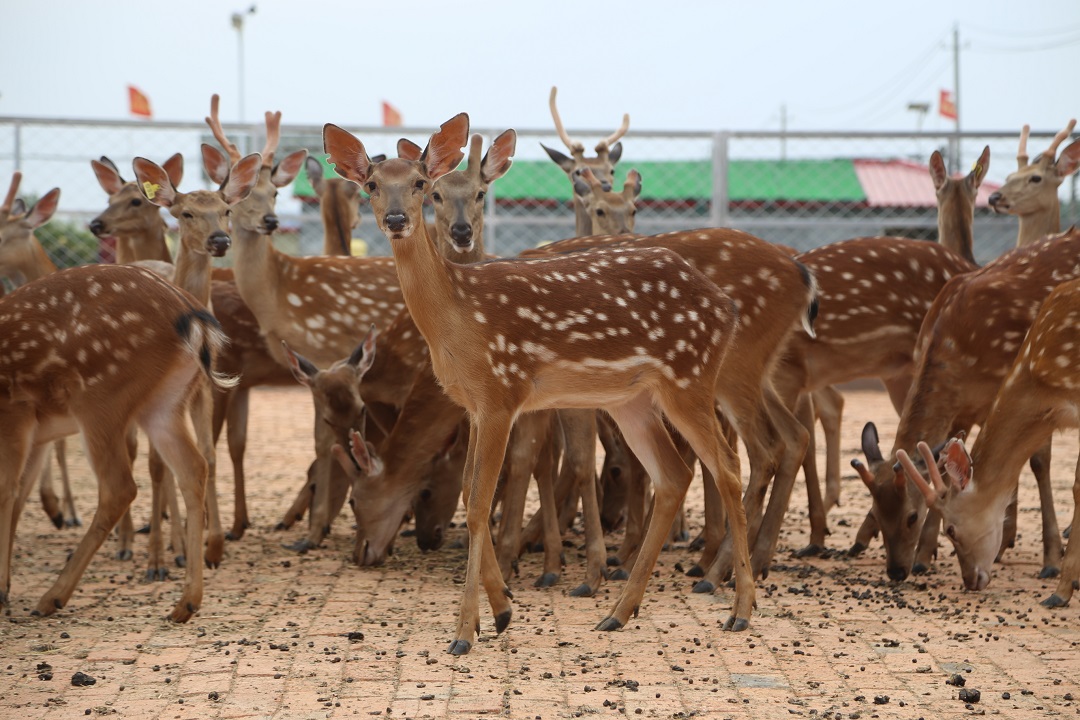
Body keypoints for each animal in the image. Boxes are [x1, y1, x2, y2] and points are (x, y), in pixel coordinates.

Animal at [0, 262, 235, 621]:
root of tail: (194, 317)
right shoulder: (36, 432)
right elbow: (19, 496)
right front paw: (6, 587)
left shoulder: (16, 410)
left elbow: (6, 492)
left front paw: (1, 590)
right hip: (164, 404)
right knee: (193, 467)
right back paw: (185, 602)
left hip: (101, 399)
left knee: (119, 487)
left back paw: (52, 597)